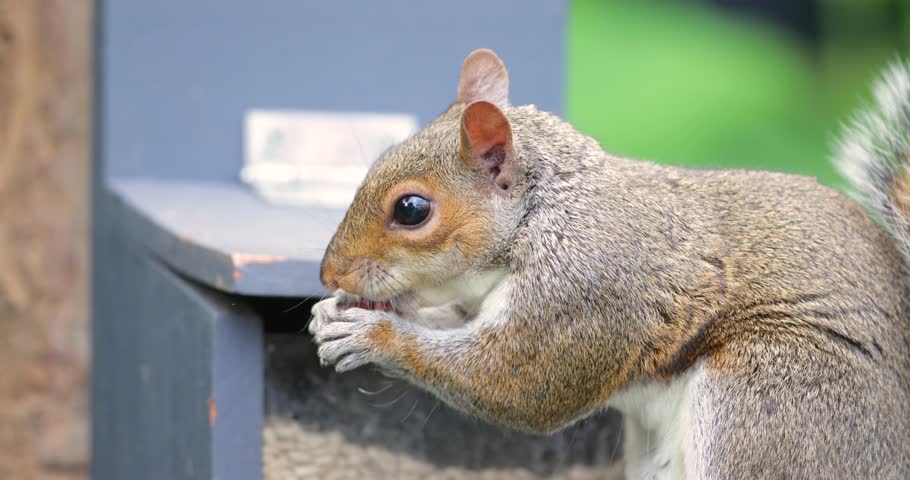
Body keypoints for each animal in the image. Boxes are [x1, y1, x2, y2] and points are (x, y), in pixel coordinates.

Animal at [309, 49, 910, 478]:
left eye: (411, 209)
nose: (329, 274)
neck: (547, 216)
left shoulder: (585, 291)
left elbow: (514, 383)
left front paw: (370, 334)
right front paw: (333, 313)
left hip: (772, 398)